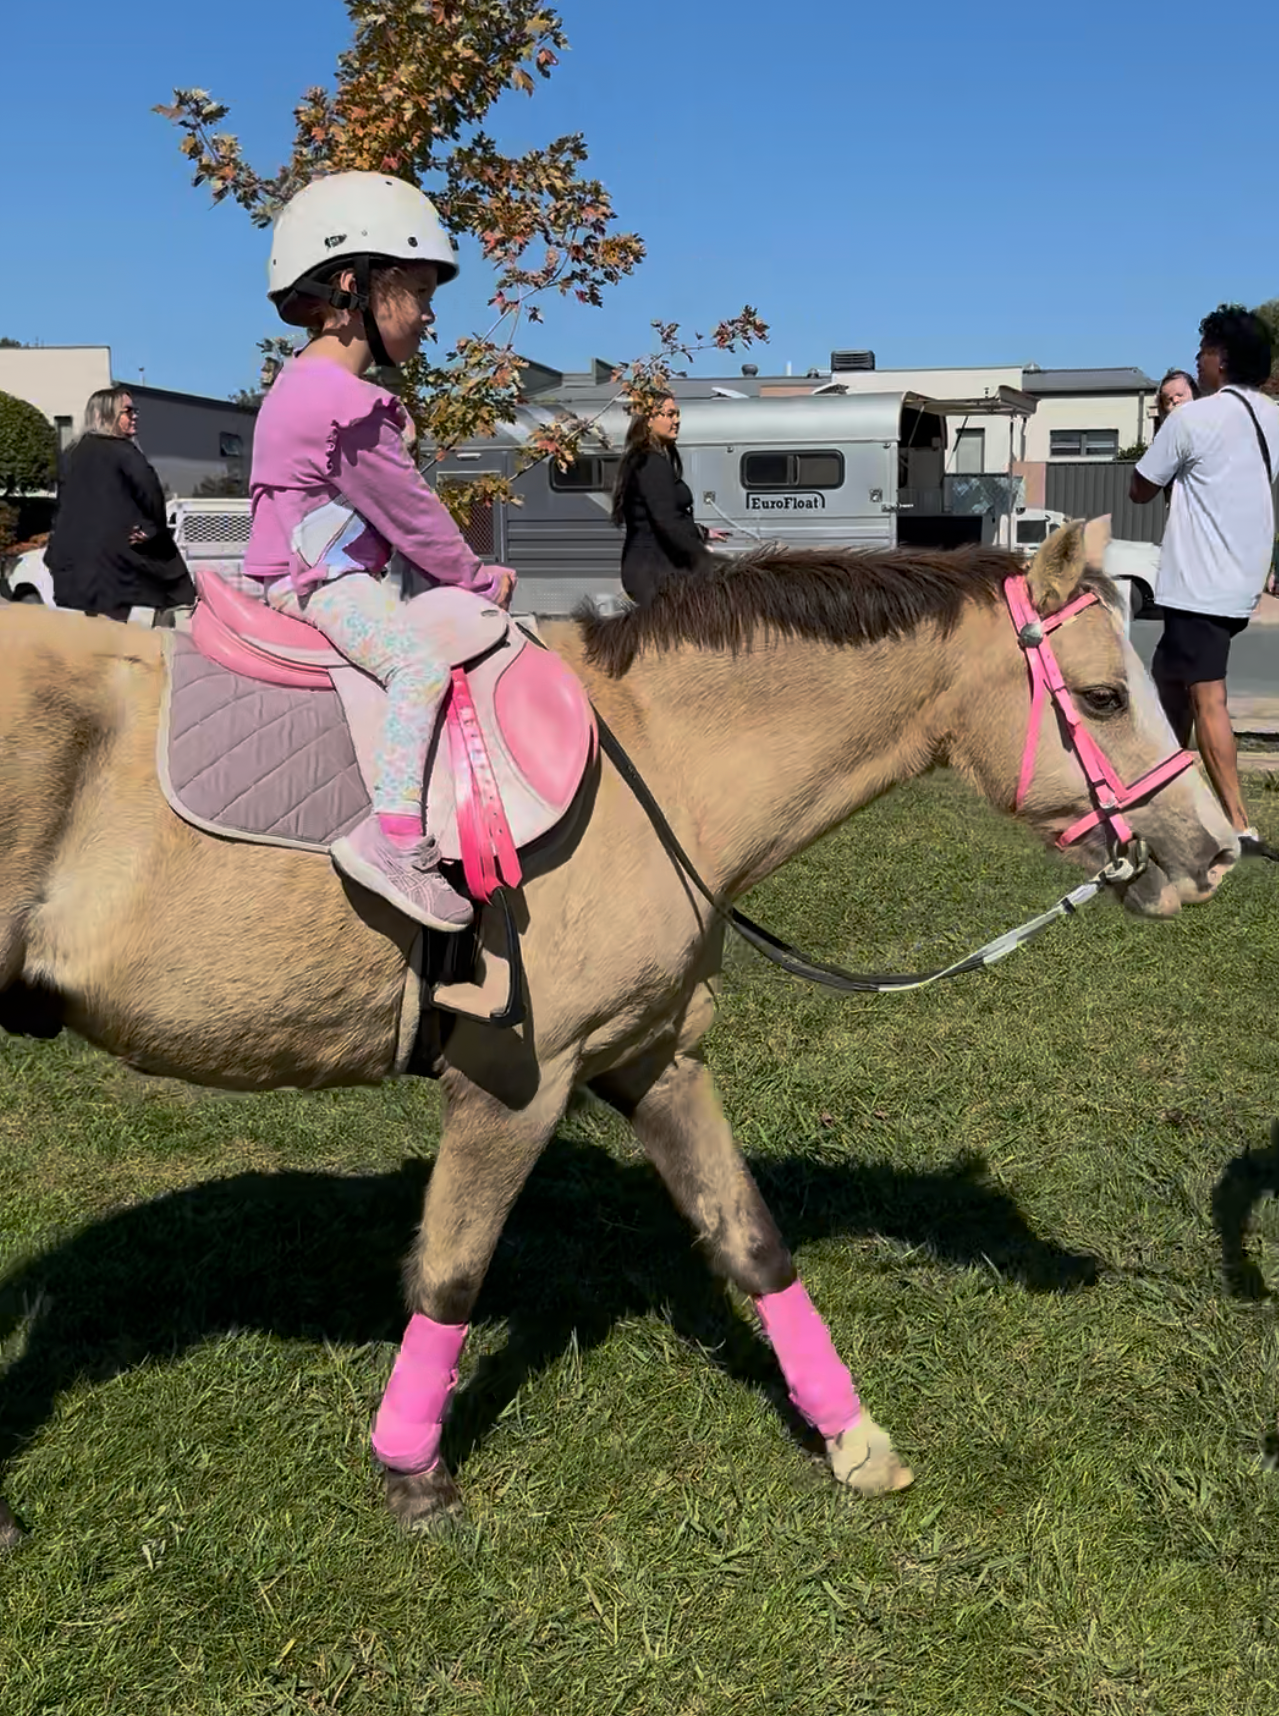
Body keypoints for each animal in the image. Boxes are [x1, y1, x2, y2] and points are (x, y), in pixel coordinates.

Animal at [0, 521, 1235, 1547]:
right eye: (1104, 698)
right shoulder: (516, 1082)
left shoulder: (656, 1059)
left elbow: (751, 1240)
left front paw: (853, 1441)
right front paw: (411, 1473)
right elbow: (450, 1273)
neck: (658, 764)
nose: (1216, 854)